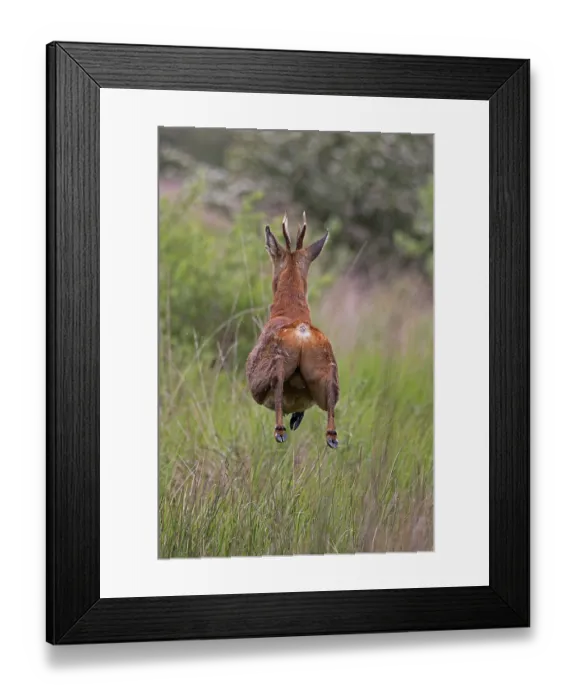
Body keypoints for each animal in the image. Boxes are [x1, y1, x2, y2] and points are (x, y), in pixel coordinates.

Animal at [246, 213, 340, 448]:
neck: (290, 311)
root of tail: (302, 333)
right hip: (325, 373)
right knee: (331, 400)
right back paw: (331, 437)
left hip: (265, 375)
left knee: (277, 380)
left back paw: (280, 431)